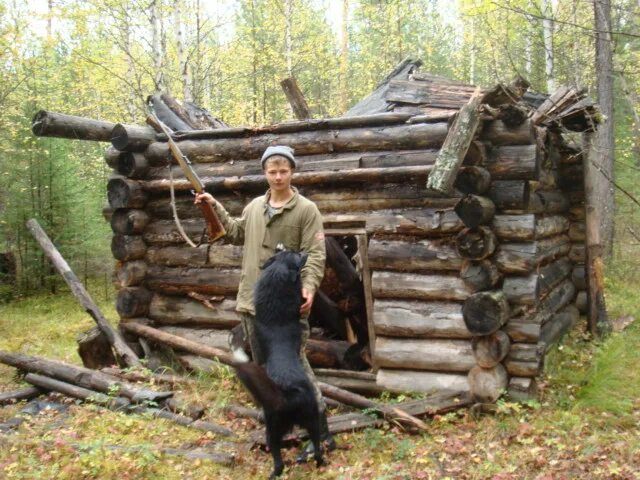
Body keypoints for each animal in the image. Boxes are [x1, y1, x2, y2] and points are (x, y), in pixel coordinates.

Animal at [231, 249, 324, 478]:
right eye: (296, 256)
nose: (304, 251)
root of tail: (288, 394)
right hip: (307, 419)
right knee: (315, 445)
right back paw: (319, 463)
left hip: (276, 429)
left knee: (280, 459)